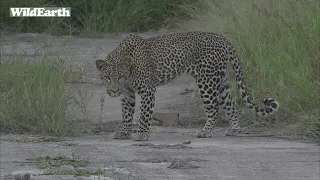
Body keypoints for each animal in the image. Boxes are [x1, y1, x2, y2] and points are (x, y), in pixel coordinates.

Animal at [94, 31, 278, 141]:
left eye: (121, 76)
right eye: (107, 77)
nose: (114, 90)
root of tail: (223, 39)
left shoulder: (147, 89)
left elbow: (145, 113)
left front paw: (142, 134)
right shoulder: (128, 94)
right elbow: (126, 114)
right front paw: (124, 132)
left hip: (206, 81)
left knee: (214, 109)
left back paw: (205, 131)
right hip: (221, 81)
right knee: (231, 105)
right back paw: (234, 129)